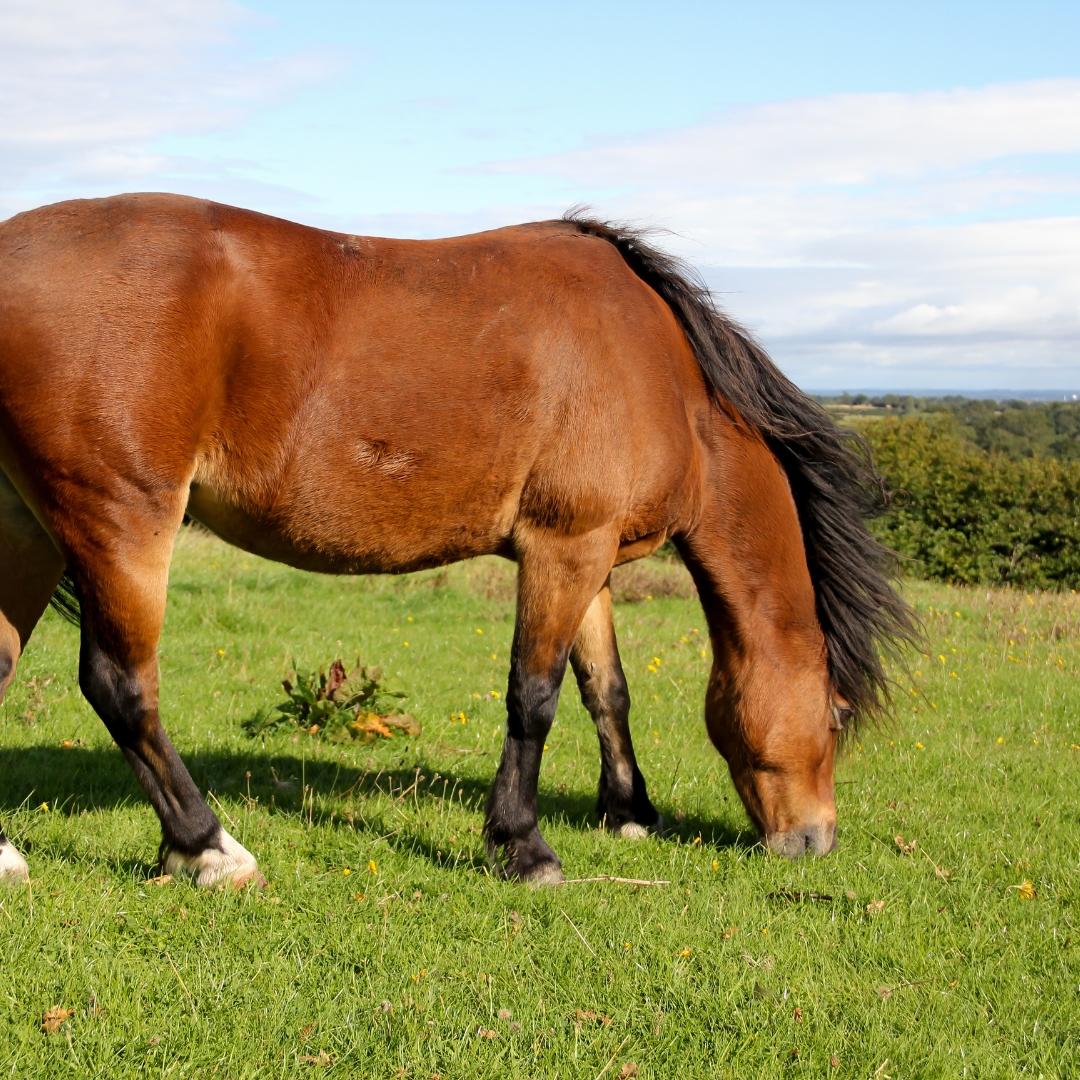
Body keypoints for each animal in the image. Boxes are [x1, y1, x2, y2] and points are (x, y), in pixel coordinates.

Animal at [0, 194, 911, 885]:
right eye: (835, 717)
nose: (813, 841)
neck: (663, 370)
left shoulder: (589, 558)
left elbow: (607, 691)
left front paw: (628, 814)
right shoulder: (562, 549)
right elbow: (535, 698)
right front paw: (523, 846)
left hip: (28, 528)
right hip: (120, 521)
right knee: (121, 685)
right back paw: (207, 848)